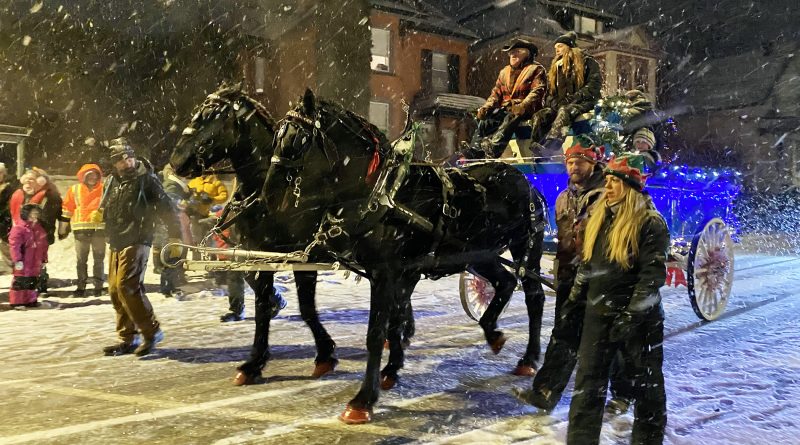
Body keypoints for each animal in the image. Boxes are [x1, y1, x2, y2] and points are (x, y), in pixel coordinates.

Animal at [170, 86, 340, 382]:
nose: (176, 162)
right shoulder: (256, 252)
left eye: (211, 116)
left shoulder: (303, 257)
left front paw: (325, 354)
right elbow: (259, 299)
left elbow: (307, 307)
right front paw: (254, 362)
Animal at [266, 87, 548, 424]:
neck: (382, 193)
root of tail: (525, 182)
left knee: (534, 295)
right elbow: (396, 321)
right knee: (505, 282)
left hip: (525, 246)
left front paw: (362, 400)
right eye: (277, 134)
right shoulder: (401, 273)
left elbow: (377, 333)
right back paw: (492, 332)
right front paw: (391, 369)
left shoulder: (385, 272)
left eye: (298, 139)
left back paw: (529, 358)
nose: (268, 195)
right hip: (479, 253)